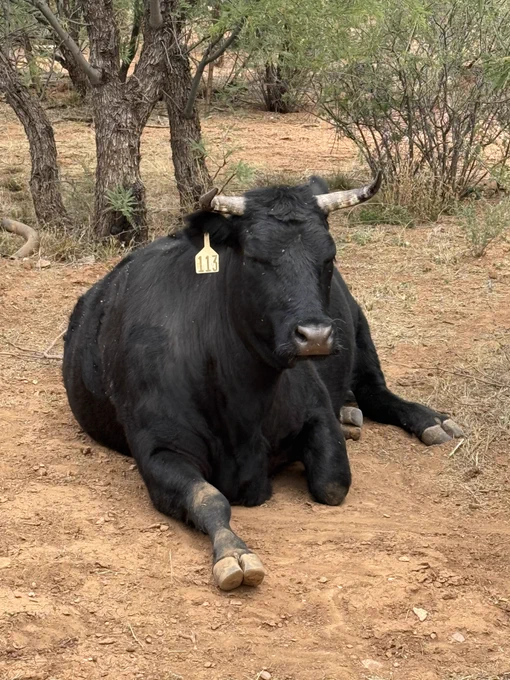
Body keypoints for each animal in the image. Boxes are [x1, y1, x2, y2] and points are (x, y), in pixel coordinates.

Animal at [62, 173, 463, 591]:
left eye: (329, 256)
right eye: (256, 258)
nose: (315, 336)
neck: (242, 398)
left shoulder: (316, 411)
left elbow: (333, 482)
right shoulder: (159, 449)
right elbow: (209, 499)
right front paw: (233, 552)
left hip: (358, 325)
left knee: (376, 391)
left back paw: (429, 420)